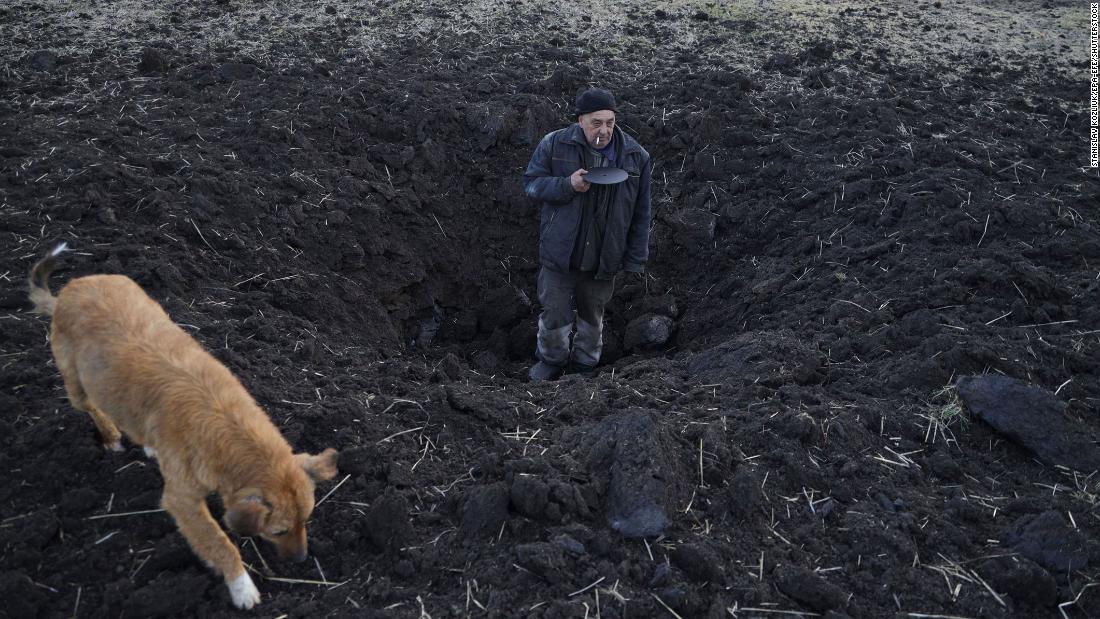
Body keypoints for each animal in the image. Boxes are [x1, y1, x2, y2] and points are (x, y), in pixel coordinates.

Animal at [31, 245, 338, 606]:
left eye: (307, 520)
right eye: (279, 531)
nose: (302, 560)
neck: (227, 422)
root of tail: (68, 290)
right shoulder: (181, 501)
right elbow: (220, 543)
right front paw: (241, 586)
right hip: (76, 385)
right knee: (93, 407)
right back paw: (111, 437)